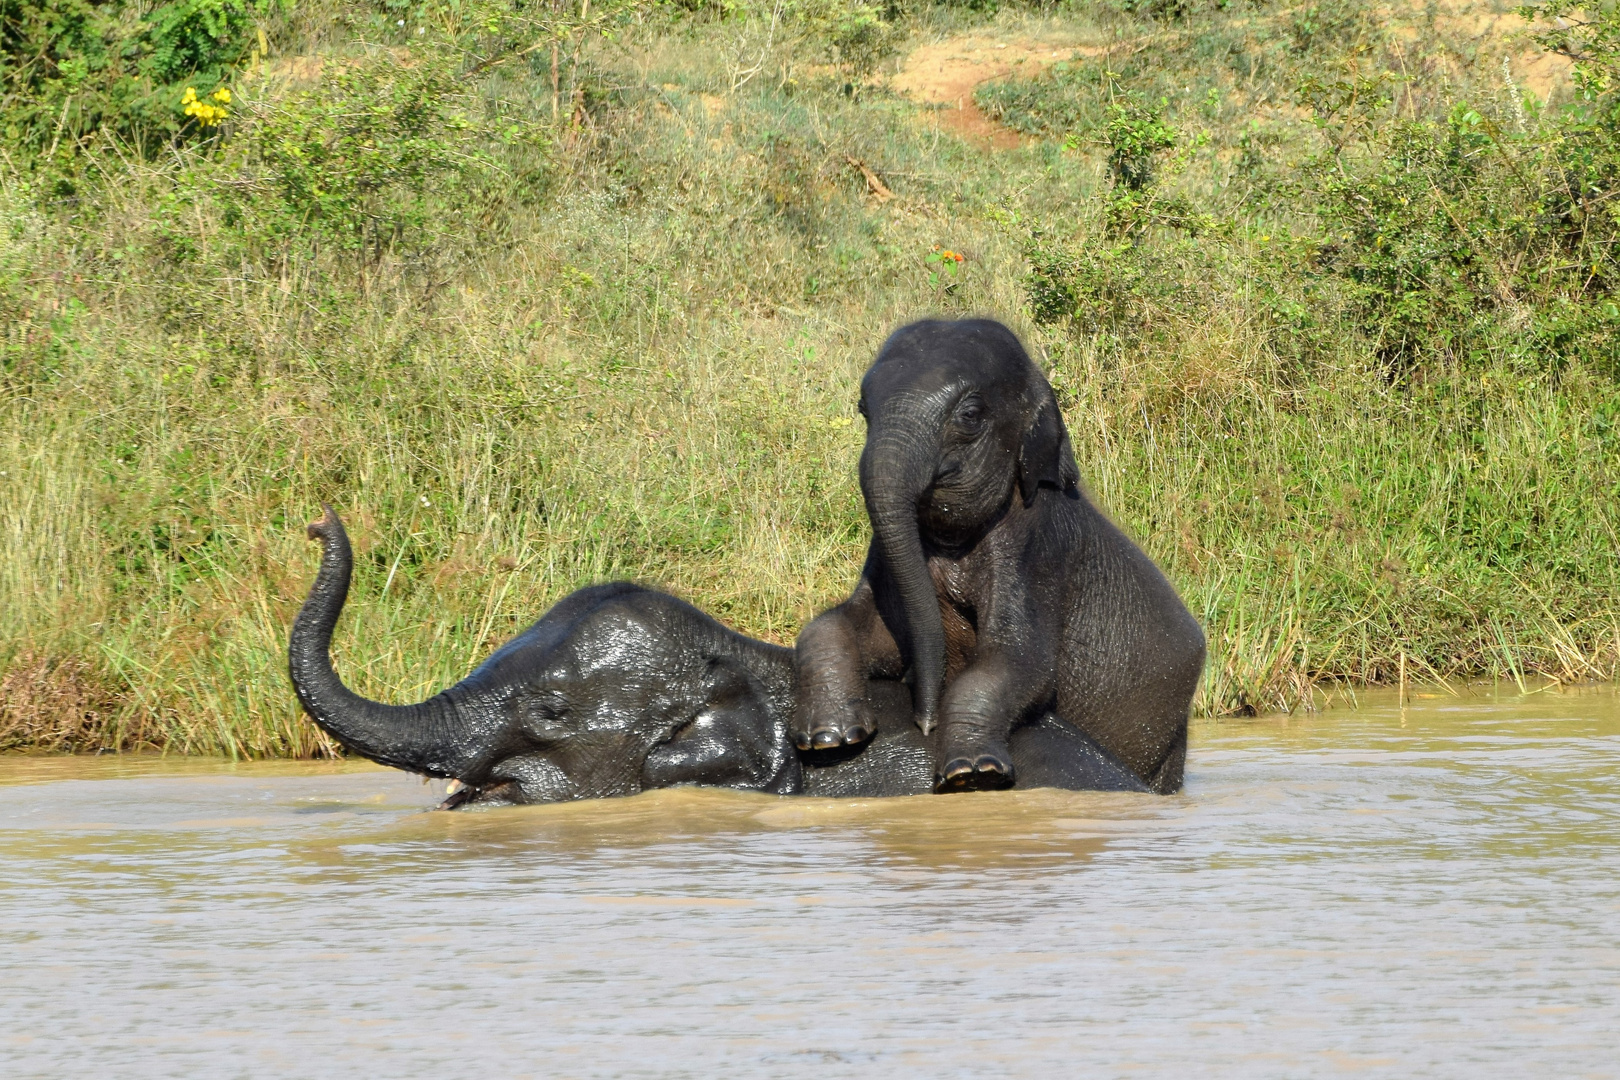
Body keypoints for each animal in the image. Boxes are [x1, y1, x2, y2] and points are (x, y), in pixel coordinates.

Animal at [790, 317, 1211, 799]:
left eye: (970, 416)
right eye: (863, 409)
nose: (924, 722)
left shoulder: (1036, 549)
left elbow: (1017, 660)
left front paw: (973, 773)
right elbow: (861, 629)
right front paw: (828, 738)